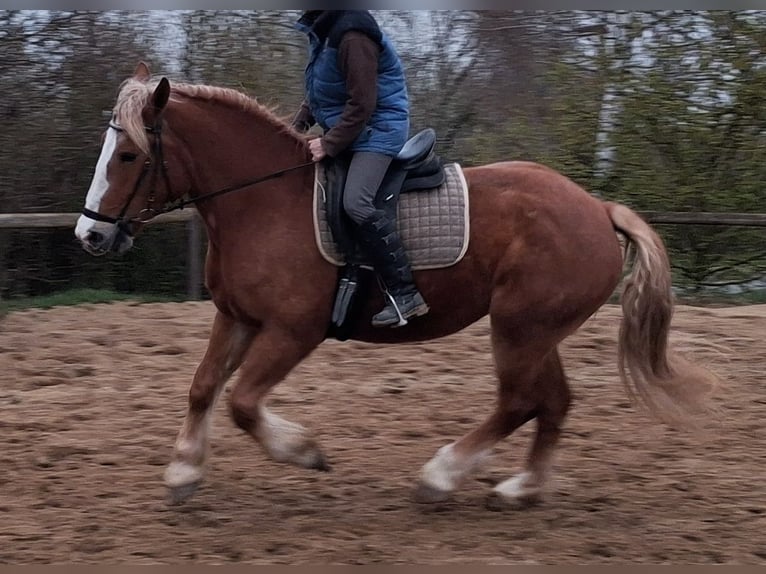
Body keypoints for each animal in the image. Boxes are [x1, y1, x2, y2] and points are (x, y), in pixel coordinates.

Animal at [75, 62, 715, 507]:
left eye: (127, 155)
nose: (90, 235)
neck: (262, 202)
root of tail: (597, 208)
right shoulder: (236, 318)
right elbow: (203, 388)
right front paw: (184, 471)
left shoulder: (292, 331)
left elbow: (242, 402)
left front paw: (304, 451)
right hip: (536, 332)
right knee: (552, 401)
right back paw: (522, 488)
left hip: (520, 329)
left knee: (518, 401)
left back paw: (441, 476)